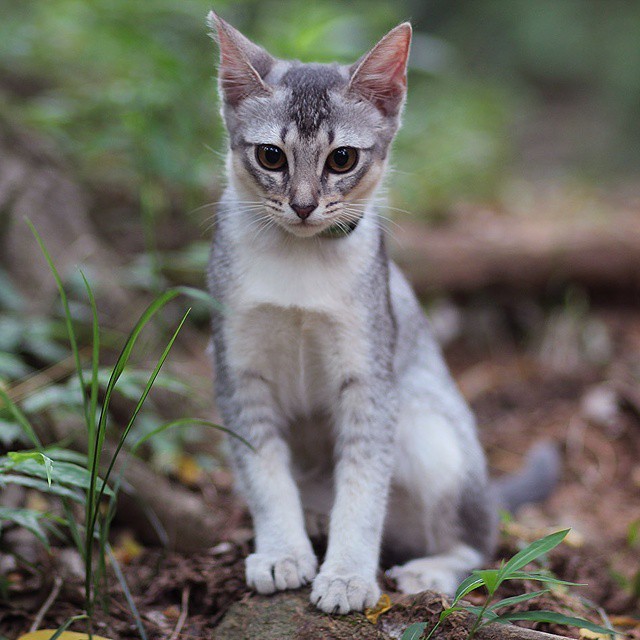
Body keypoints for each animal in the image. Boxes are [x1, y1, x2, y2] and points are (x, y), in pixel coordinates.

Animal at [204, 13, 556, 616]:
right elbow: (265, 476)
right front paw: (281, 552)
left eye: (341, 158)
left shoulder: (370, 377)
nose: (303, 205)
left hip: (426, 426)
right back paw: (313, 522)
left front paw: (347, 575)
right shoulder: (237, 373)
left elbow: (364, 491)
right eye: (271, 156)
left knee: (477, 543)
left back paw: (430, 570)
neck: (299, 262)